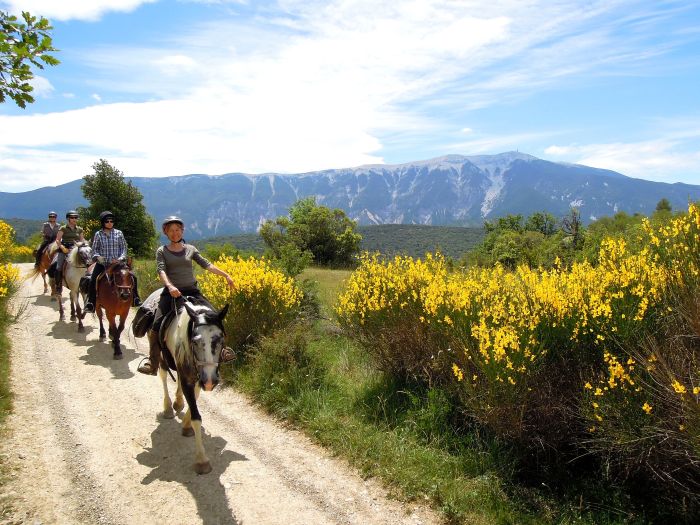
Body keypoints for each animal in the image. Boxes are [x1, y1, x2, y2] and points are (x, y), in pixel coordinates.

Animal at [152, 296, 230, 472]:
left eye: (220, 339)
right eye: (195, 342)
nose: (210, 381)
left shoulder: (198, 377)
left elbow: (195, 395)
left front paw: (186, 423)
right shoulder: (191, 377)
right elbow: (196, 417)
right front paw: (201, 460)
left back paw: (178, 402)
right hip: (162, 357)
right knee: (163, 376)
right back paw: (168, 407)